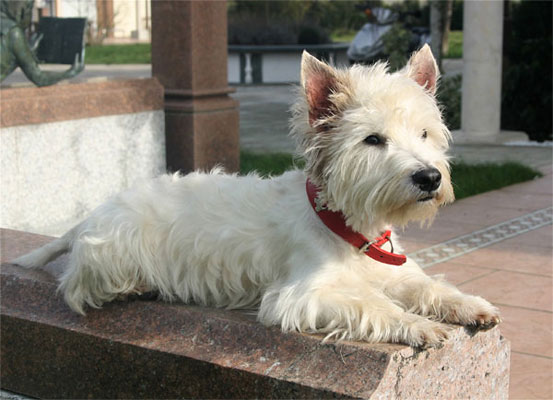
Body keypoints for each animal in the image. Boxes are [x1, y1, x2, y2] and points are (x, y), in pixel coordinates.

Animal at [16, 46, 500, 346]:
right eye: (373, 140)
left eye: (424, 133)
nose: (429, 177)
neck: (351, 227)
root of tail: (94, 213)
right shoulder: (300, 295)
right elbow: (373, 305)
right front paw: (418, 326)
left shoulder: (393, 271)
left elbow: (428, 286)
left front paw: (471, 306)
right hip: (111, 253)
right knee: (75, 285)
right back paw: (133, 286)